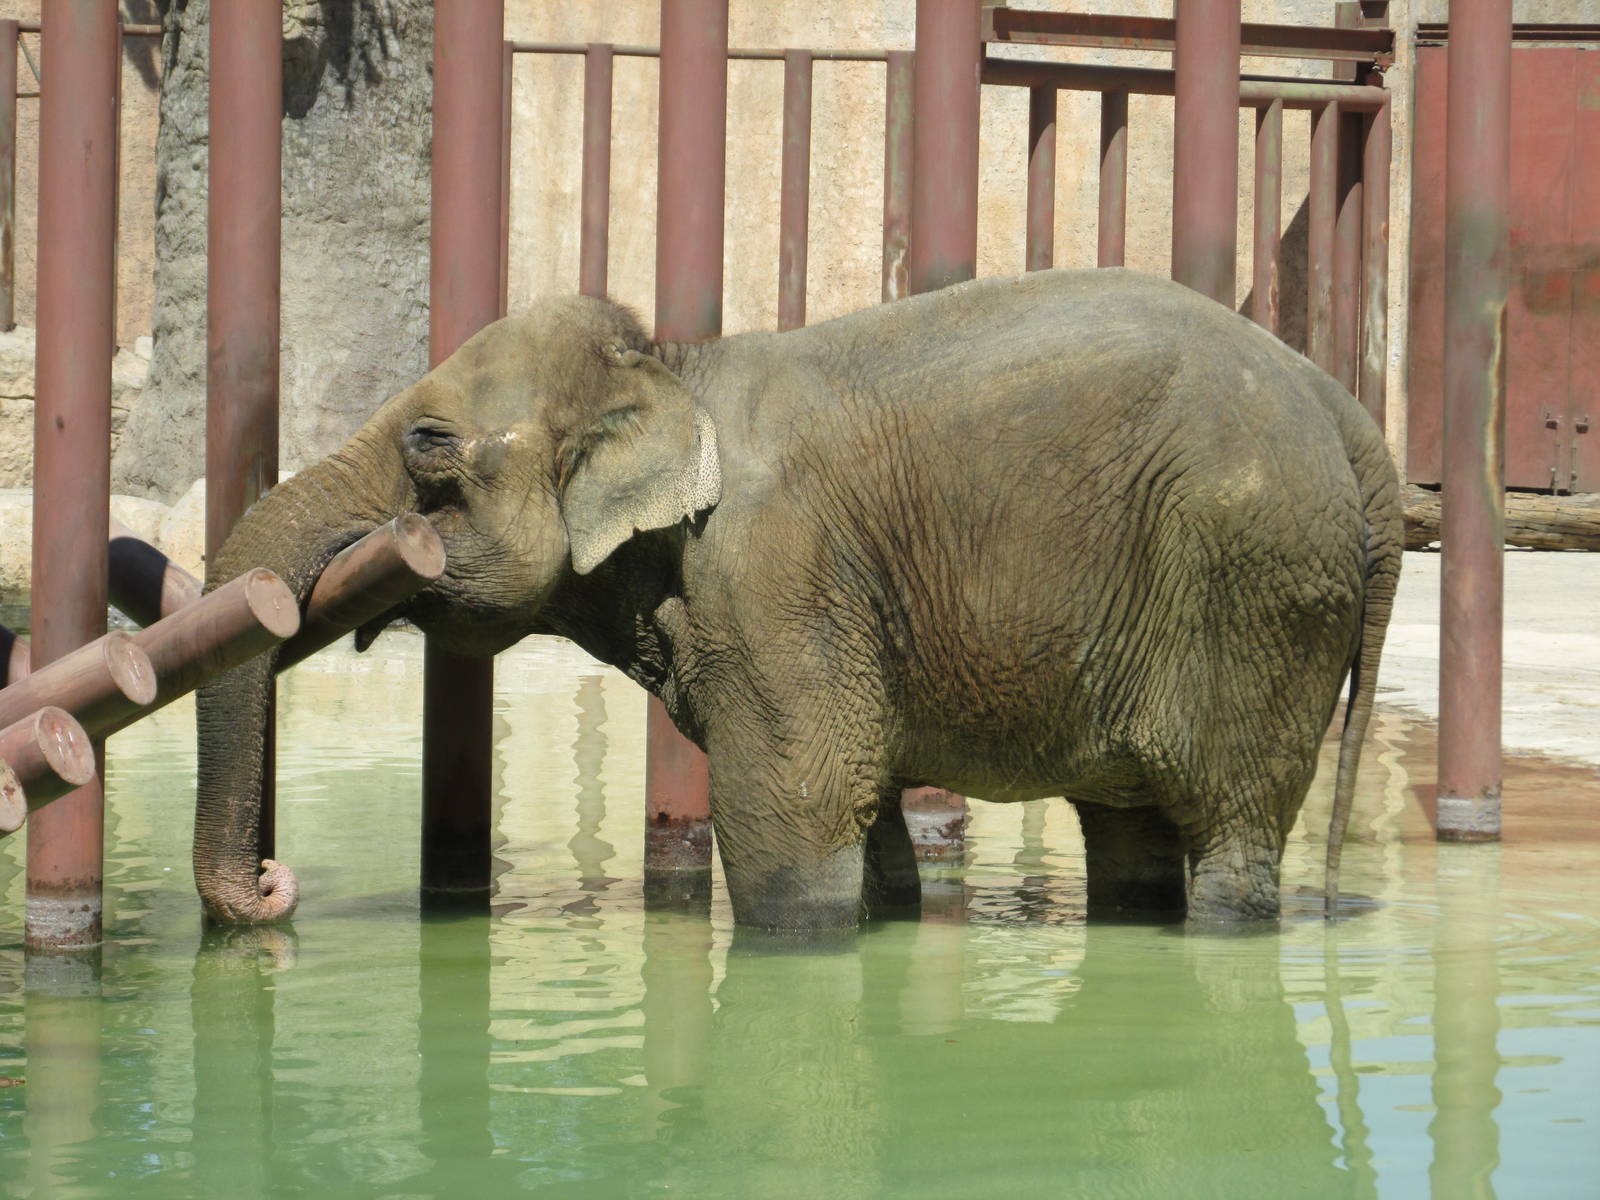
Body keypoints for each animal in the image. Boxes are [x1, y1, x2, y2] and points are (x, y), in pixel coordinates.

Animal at [193, 268, 1401, 933]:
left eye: (429, 451)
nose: (278, 885)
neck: (673, 367)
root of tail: (1351, 419)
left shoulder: (772, 572)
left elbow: (792, 820)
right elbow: (869, 830)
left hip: (1257, 586)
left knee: (1229, 831)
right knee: (1132, 832)